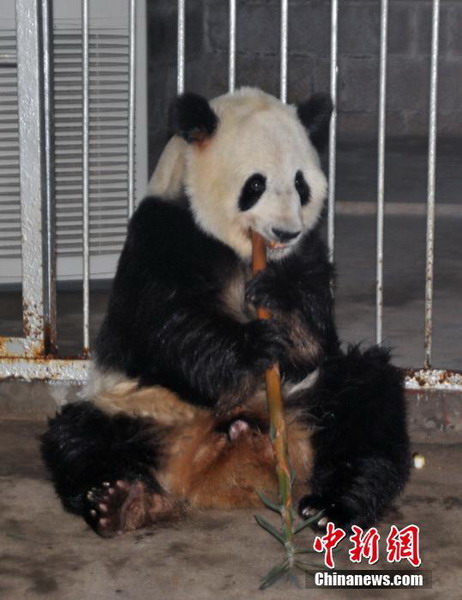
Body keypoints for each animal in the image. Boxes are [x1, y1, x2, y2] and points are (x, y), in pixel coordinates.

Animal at [41, 88, 410, 540]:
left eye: (301, 183)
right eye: (256, 184)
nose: (284, 231)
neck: (243, 250)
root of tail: (212, 466)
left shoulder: (307, 250)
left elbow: (317, 333)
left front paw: (278, 302)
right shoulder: (162, 233)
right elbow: (162, 325)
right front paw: (255, 344)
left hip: (304, 398)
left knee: (366, 402)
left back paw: (332, 505)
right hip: (144, 405)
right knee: (78, 438)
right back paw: (126, 503)